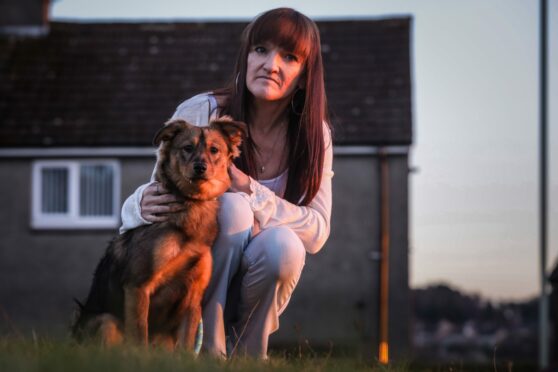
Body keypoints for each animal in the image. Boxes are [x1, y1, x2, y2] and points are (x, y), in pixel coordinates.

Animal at [72, 117, 247, 350]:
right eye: (187, 148)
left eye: (214, 149)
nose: (200, 167)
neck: (193, 203)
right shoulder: (138, 286)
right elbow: (139, 334)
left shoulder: (194, 296)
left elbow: (186, 342)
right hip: (106, 322)